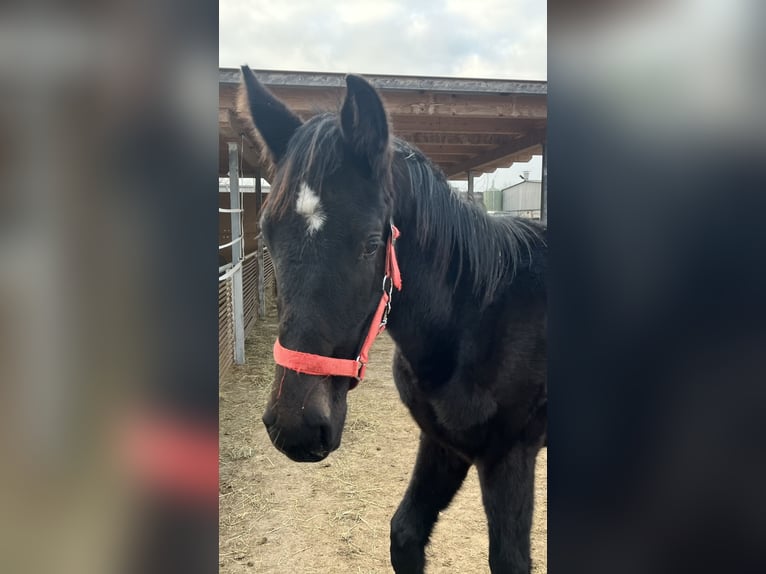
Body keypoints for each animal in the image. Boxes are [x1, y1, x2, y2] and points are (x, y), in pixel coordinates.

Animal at [239, 65, 547, 574]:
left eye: (370, 242)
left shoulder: (509, 455)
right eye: (267, 234)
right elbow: (404, 534)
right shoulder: (443, 445)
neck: (477, 321)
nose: (294, 425)